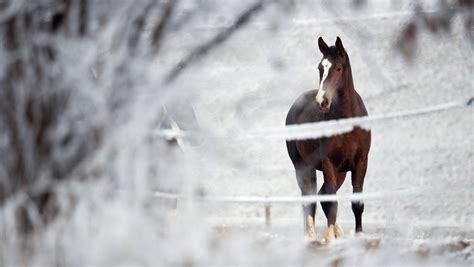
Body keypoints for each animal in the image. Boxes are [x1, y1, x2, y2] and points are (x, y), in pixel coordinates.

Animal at [286, 36, 370, 244]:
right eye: (320, 68)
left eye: (338, 68)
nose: (322, 101)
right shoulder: (328, 162)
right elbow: (331, 201)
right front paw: (329, 239)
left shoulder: (360, 162)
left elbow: (357, 201)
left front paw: (358, 235)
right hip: (303, 167)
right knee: (310, 198)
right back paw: (312, 236)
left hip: (340, 172)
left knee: (321, 194)